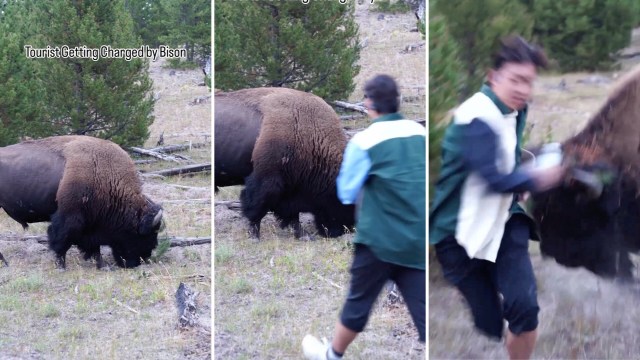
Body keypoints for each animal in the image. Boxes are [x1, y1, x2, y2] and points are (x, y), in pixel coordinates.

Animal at [0, 136, 164, 268]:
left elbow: (94, 247)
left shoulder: (92, 223)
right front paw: (61, 266)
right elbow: (61, 242)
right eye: (147, 234)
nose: (143, 259)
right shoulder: (70, 218)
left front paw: (101, 265)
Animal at [215, 87, 356, 239]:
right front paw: (254, 236)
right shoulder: (266, 182)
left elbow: (293, 215)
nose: (346, 229)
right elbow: (256, 210)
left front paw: (302, 235)